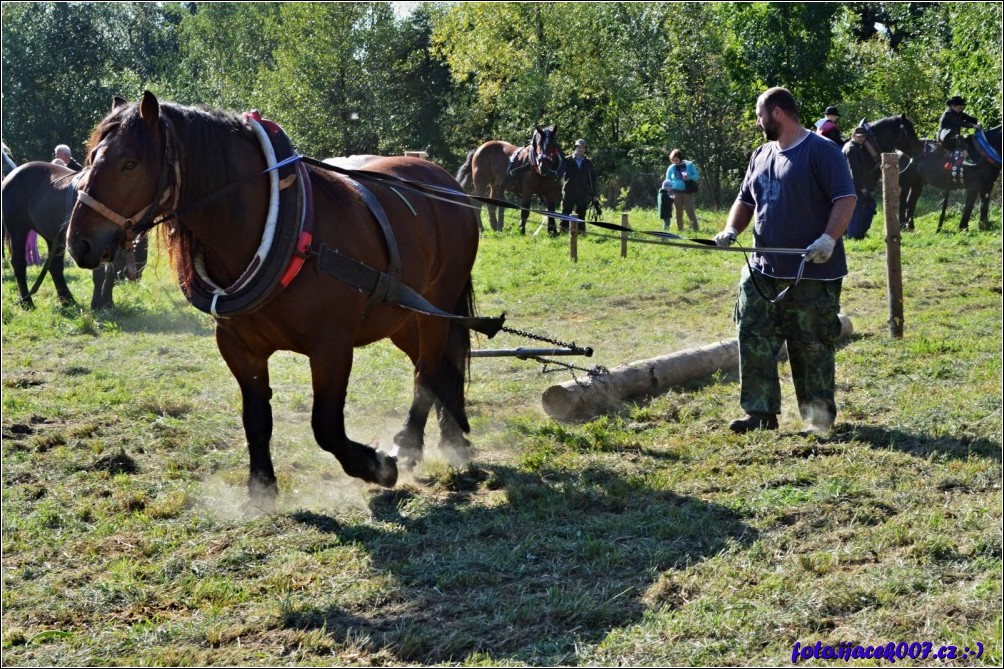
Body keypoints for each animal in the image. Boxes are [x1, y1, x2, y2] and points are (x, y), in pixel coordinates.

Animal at [1, 160, 146, 309]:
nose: (136, 277)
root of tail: (13, 173)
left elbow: (109, 272)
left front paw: (108, 302)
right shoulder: (94, 244)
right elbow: (99, 274)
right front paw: (96, 304)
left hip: (53, 237)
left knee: (55, 266)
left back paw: (67, 300)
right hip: (18, 231)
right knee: (19, 264)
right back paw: (27, 302)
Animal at [65, 89, 489, 506]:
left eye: (130, 164)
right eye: (91, 158)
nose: (78, 242)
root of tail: (444, 181)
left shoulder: (332, 346)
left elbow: (326, 426)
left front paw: (377, 466)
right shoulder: (238, 347)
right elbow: (256, 418)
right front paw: (261, 488)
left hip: (435, 308)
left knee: (427, 373)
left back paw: (411, 445)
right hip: (401, 317)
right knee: (441, 368)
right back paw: (452, 440)